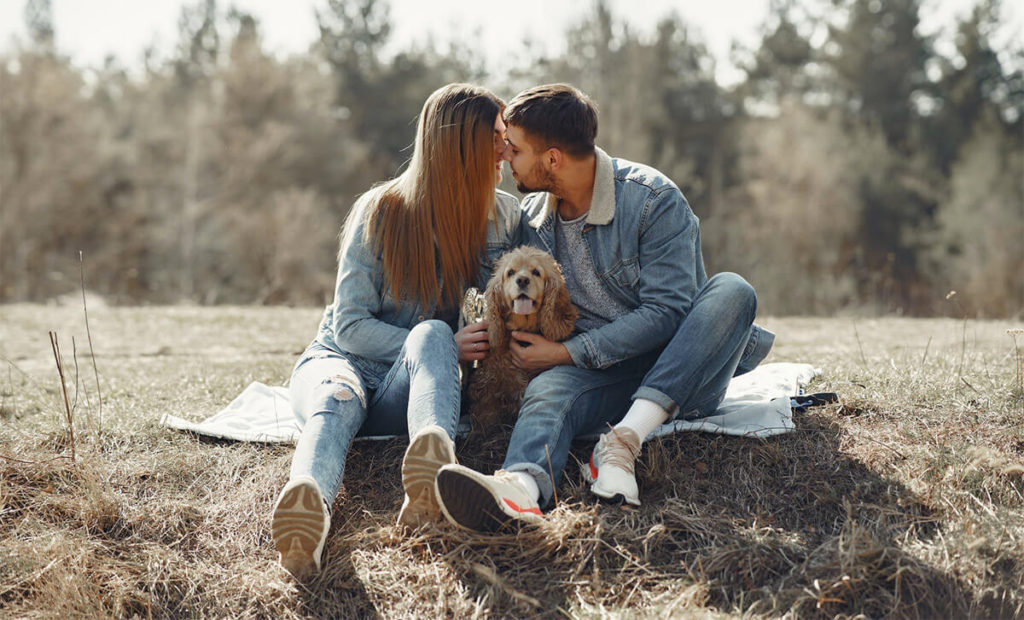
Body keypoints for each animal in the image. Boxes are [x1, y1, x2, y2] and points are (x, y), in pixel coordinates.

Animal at [468, 243, 581, 428]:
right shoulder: (489, 381)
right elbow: (487, 412)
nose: (522, 280)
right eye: (510, 272)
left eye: (536, 272)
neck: (523, 327)